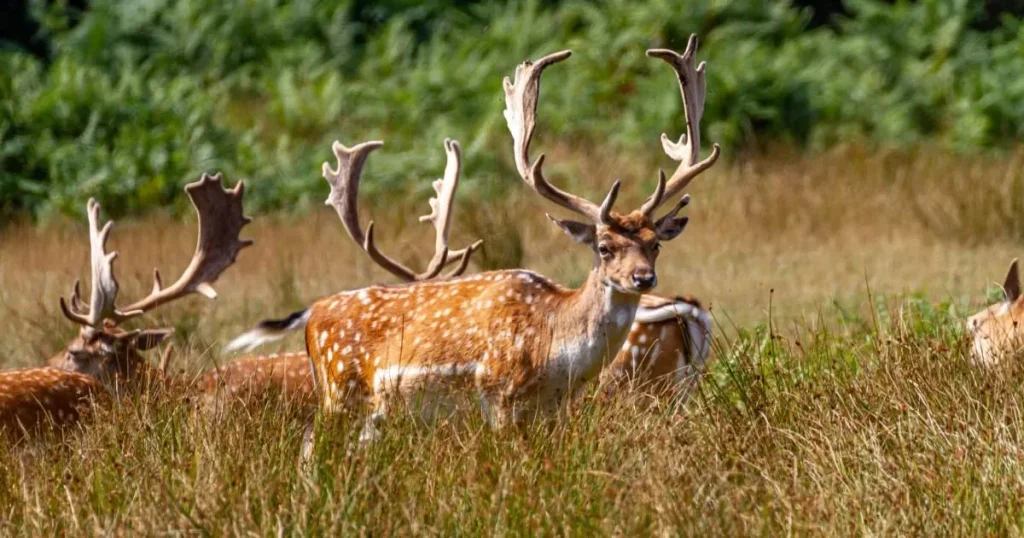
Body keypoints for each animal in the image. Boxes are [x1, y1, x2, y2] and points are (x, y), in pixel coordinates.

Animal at [227, 35, 719, 443]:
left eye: (656, 243)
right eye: (604, 247)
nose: (643, 278)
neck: (553, 347)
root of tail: (313, 314)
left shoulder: (552, 410)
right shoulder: (497, 394)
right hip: (338, 392)